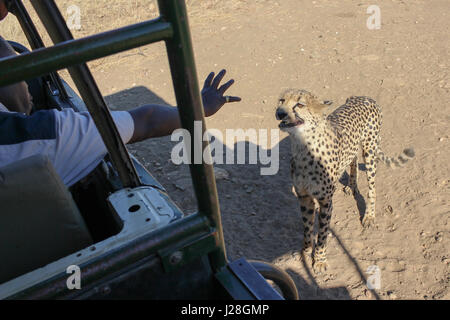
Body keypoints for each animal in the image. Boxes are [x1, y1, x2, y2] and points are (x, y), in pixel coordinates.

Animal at [276, 89, 416, 272]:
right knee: (353, 159)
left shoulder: (326, 201)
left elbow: (322, 234)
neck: (303, 145)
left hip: (370, 151)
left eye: (300, 104)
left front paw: (320, 260)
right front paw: (305, 252)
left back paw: (369, 216)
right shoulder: (304, 197)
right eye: (282, 100)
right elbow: (307, 227)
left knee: (372, 187)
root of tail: (363, 97)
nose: (280, 113)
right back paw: (352, 185)